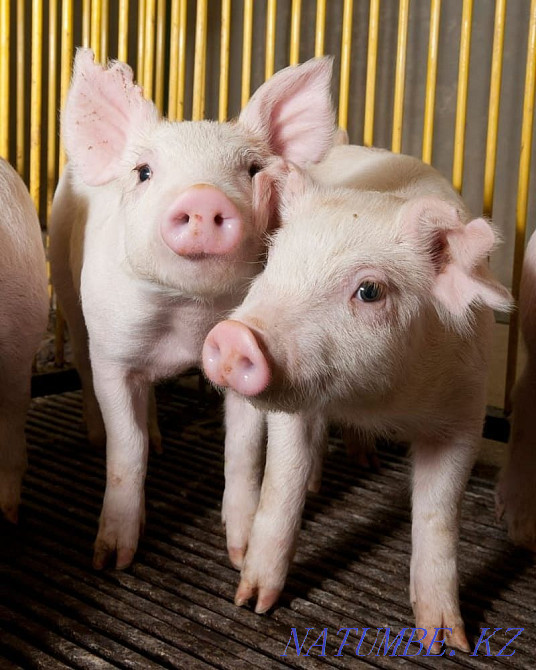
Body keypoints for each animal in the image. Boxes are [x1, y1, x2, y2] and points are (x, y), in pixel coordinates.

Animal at [48, 47, 336, 570]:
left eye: (252, 170)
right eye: (144, 171)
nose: (203, 196)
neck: (186, 317)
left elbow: (243, 450)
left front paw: (240, 556)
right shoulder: (113, 354)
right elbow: (127, 448)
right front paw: (112, 561)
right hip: (65, 277)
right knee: (80, 359)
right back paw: (98, 436)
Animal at [202, 144, 513, 652]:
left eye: (369, 291)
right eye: (274, 263)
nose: (234, 338)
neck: (376, 401)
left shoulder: (466, 411)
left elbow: (439, 514)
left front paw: (446, 642)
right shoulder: (292, 409)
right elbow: (282, 484)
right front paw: (252, 603)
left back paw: (363, 459)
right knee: (245, 436)